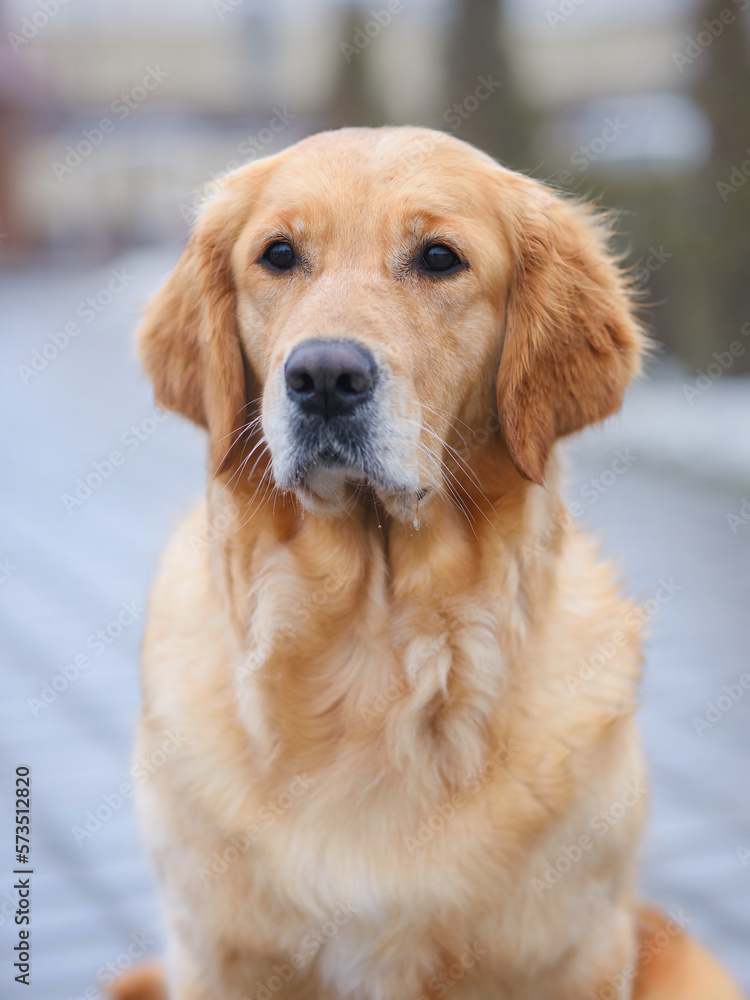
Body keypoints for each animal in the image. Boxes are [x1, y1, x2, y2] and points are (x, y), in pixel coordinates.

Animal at [126, 129, 744, 996]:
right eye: (278, 255)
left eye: (439, 258)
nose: (323, 377)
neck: (375, 650)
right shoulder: (216, 955)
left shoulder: (572, 952)